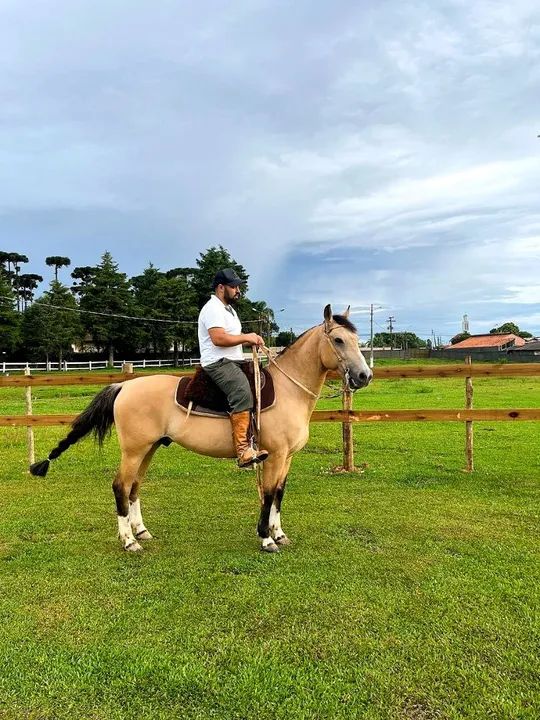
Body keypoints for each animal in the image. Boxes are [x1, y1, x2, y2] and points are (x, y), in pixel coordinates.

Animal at [30, 304, 372, 553]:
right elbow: (268, 494)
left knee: (135, 486)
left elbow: (278, 493)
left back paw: (142, 532)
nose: (364, 376)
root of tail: (124, 387)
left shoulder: (286, 458)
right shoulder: (275, 456)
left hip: (149, 448)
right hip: (133, 449)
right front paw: (266, 539)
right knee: (120, 486)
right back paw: (128, 542)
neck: (290, 389)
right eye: (338, 340)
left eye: (358, 341)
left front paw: (279, 534)